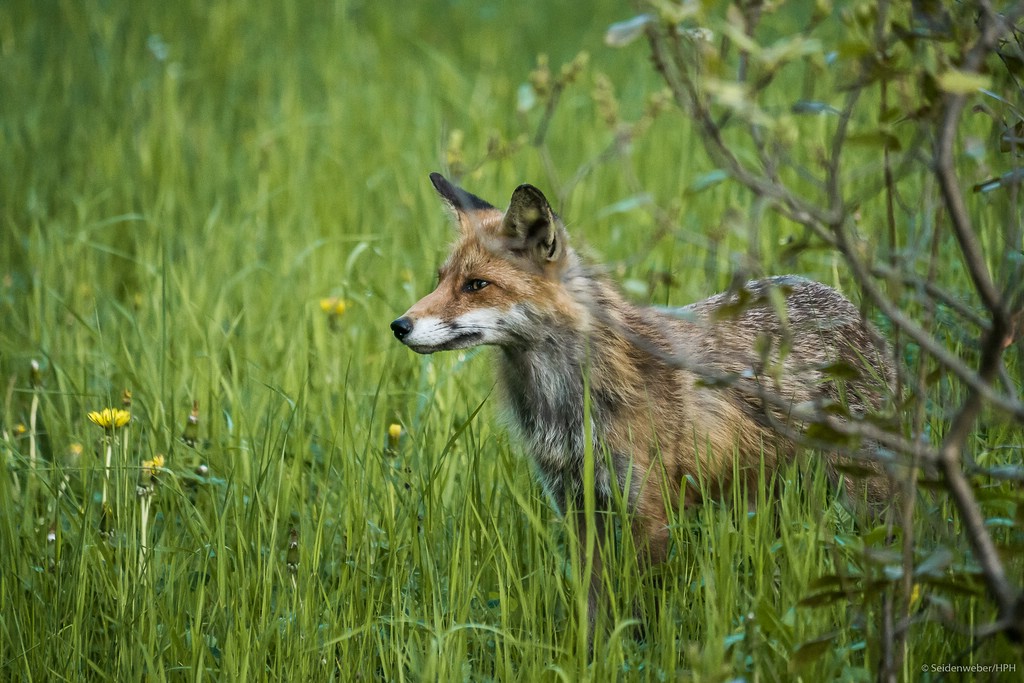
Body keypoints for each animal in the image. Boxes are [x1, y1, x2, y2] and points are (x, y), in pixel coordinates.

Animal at [391, 175, 897, 630]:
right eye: (441, 280)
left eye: (476, 285)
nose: (399, 326)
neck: (568, 408)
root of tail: (847, 304)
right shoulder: (577, 508)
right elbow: (593, 610)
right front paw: (589, 657)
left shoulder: (649, 510)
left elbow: (643, 612)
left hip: (861, 496)